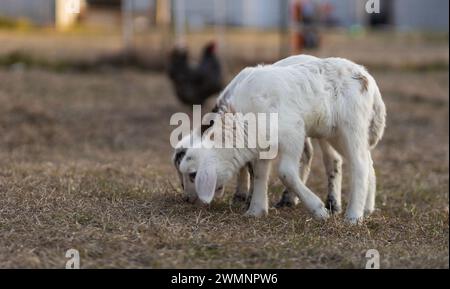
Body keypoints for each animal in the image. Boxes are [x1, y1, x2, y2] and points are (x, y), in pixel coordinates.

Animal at [176, 54, 386, 223]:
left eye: (193, 175)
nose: (187, 199)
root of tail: (366, 76)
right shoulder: (261, 144)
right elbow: (260, 173)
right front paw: (256, 210)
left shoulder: (293, 131)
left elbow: (286, 173)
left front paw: (319, 211)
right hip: (336, 134)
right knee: (368, 163)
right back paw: (367, 209)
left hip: (352, 126)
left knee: (359, 165)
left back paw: (353, 217)